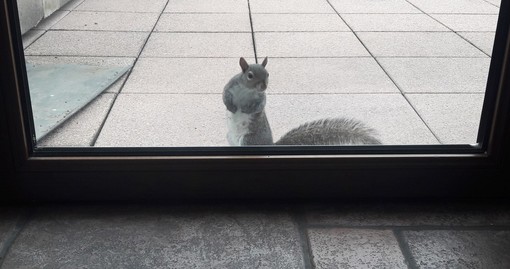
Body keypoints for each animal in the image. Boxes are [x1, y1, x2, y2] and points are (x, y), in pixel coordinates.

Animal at [221, 56, 380, 144]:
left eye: (267, 74)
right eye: (250, 75)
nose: (264, 86)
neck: (247, 90)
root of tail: (271, 145)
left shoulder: (261, 97)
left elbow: (259, 106)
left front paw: (246, 109)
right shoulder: (230, 86)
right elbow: (224, 96)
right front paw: (232, 107)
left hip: (248, 139)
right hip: (231, 137)